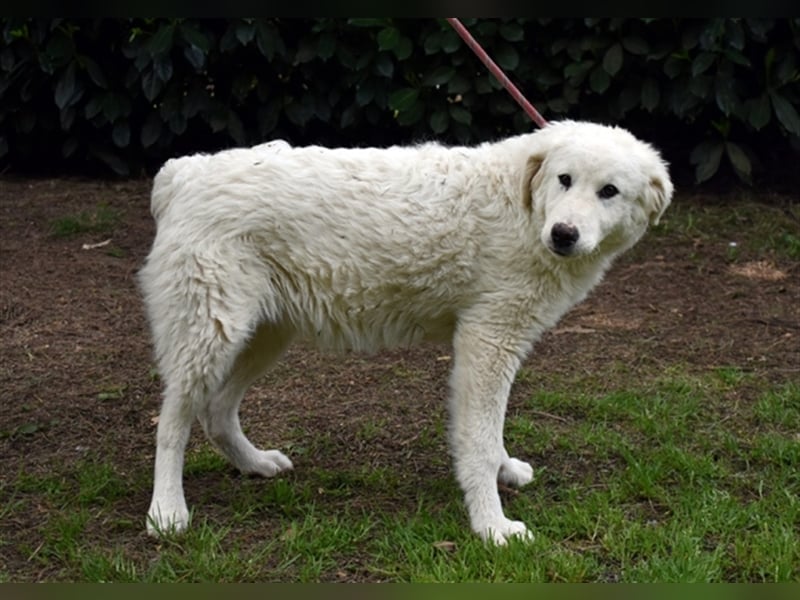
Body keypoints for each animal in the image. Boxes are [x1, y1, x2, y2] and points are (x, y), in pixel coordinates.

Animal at [141, 120, 672, 544]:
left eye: (609, 191)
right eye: (565, 180)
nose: (563, 234)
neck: (523, 205)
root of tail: (183, 173)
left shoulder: (493, 345)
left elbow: (490, 431)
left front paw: (504, 472)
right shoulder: (488, 339)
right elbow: (478, 442)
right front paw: (492, 527)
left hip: (262, 335)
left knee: (215, 410)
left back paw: (253, 463)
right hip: (211, 334)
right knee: (172, 424)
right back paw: (167, 511)